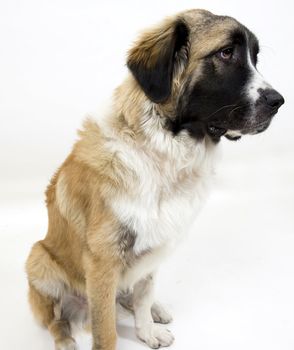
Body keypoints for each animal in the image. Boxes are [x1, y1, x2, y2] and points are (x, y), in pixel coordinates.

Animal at [25, 8, 284, 350]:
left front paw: (147, 330)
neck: (165, 150)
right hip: (38, 258)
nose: (279, 102)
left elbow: (143, 294)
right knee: (56, 319)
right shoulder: (103, 260)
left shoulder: (154, 243)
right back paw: (66, 340)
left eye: (255, 57)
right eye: (226, 53)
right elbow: (105, 329)